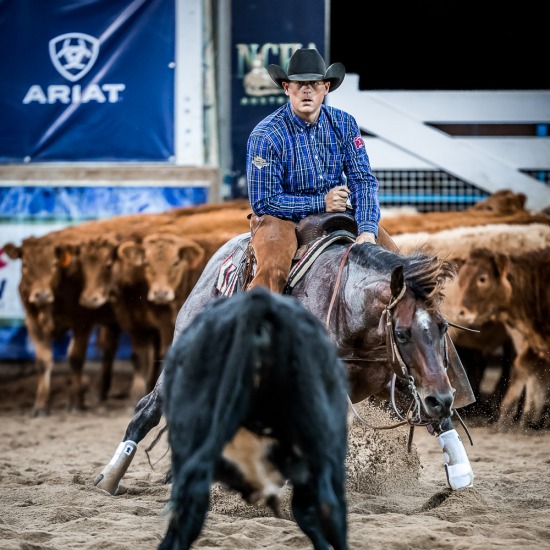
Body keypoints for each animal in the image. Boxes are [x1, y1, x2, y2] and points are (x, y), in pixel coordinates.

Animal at [95, 226, 478, 502]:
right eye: (401, 333)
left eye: (443, 327)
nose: (443, 398)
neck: (348, 310)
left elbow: (441, 423)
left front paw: (461, 480)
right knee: (147, 411)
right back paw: (108, 479)